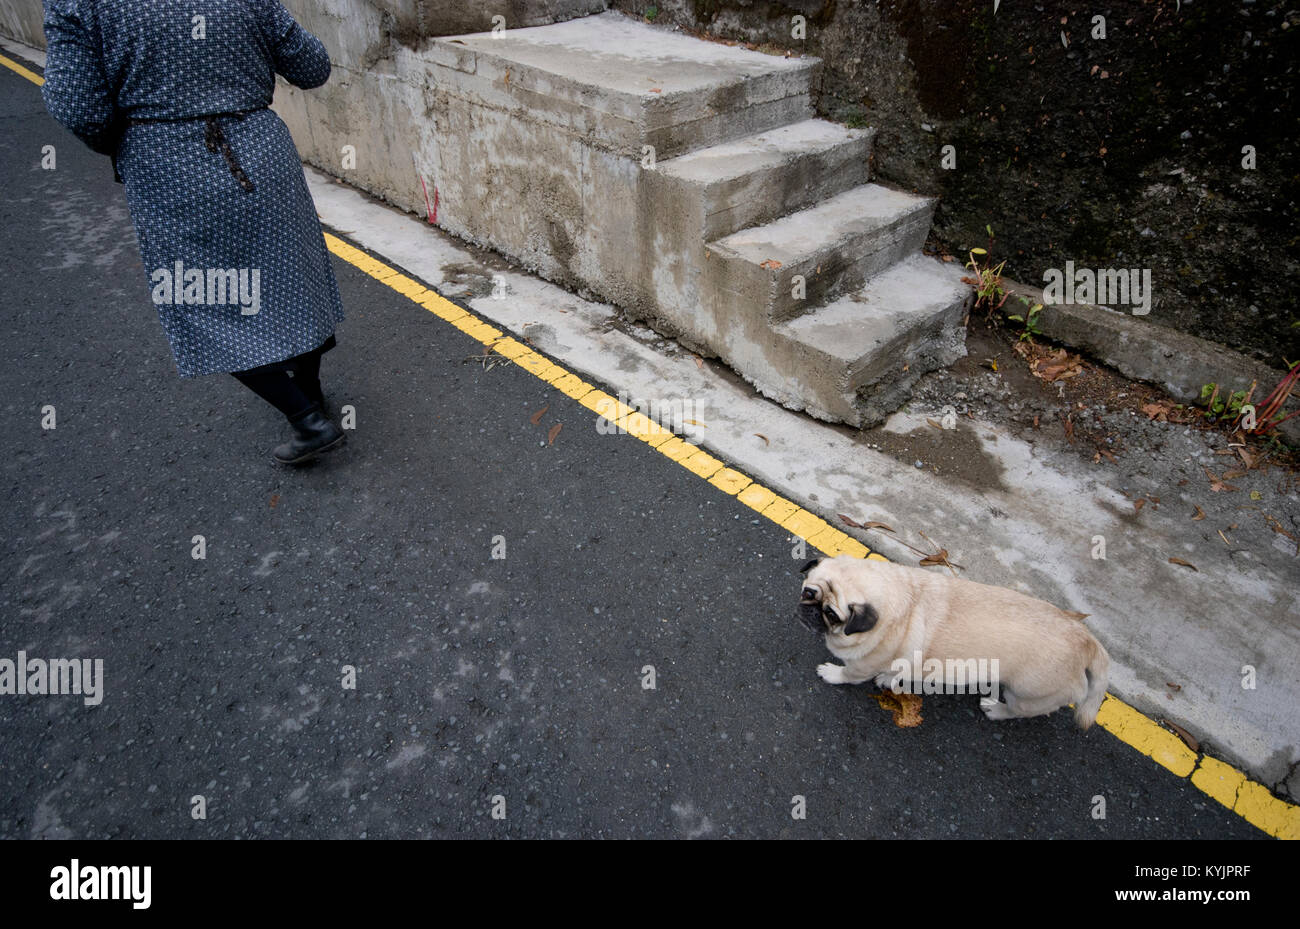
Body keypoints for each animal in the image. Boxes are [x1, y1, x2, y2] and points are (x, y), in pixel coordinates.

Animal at [795, 556, 1112, 732]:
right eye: (808, 592)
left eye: (831, 615)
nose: (810, 610)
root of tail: (1085, 641)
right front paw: (888, 678)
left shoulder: (863, 664)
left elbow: (849, 673)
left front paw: (833, 673)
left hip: (1025, 694)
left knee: (1020, 710)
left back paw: (996, 709)